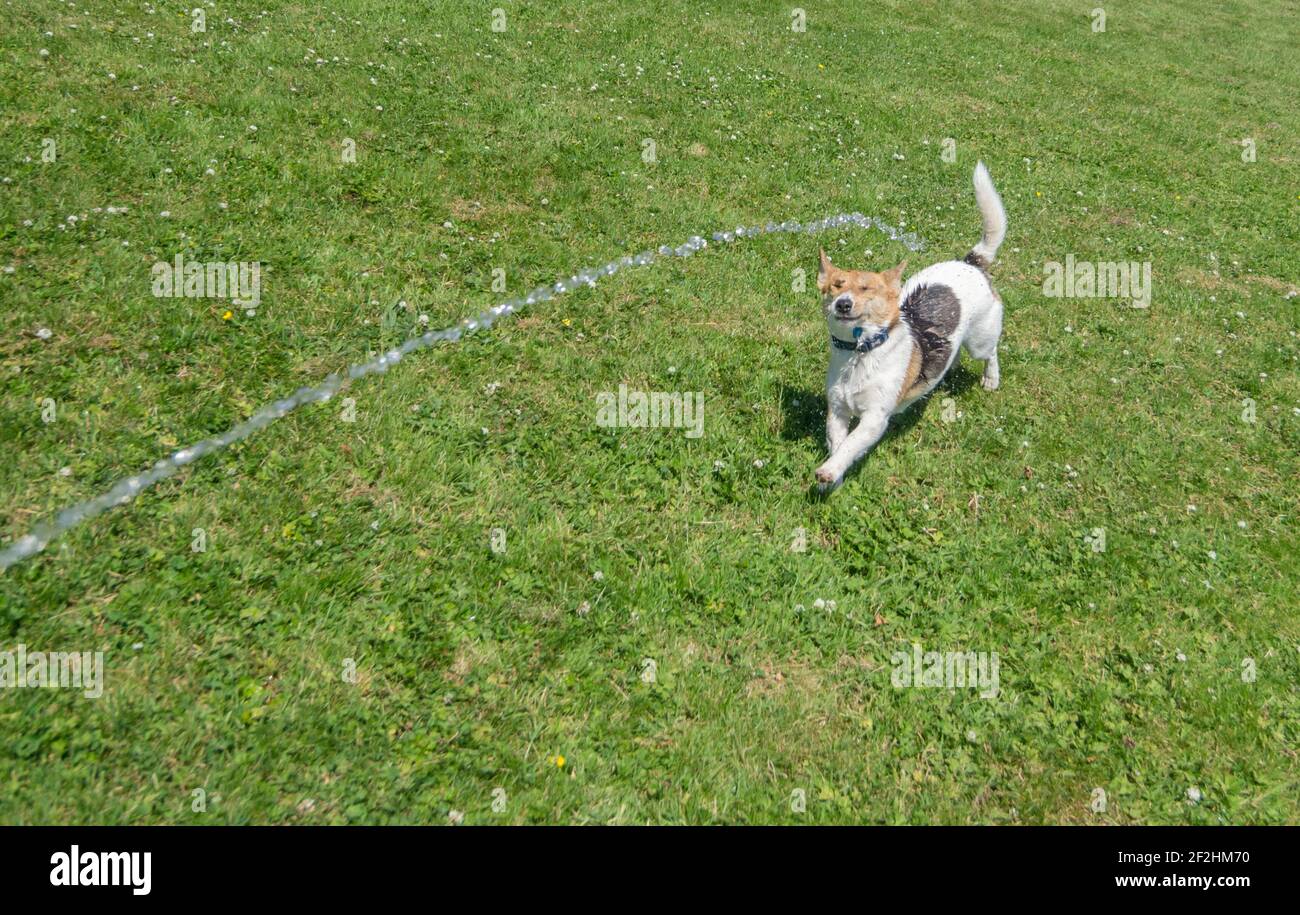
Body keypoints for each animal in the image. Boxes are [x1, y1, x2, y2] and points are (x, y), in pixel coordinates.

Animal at [811, 164, 1003, 493]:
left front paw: (829, 471)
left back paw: (991, 379)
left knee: (990, 353)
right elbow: (838, 443)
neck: (859, 352)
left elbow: (850, 445)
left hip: (980, 341)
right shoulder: (837, 411)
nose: (843, 304)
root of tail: (971, 263)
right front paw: (834, 478)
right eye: (836, 286)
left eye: (866, 289)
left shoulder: (874, 419)